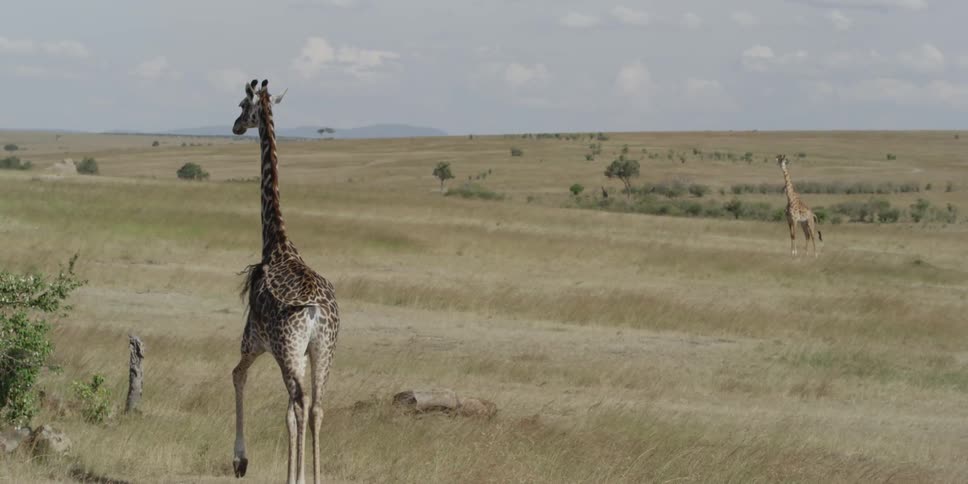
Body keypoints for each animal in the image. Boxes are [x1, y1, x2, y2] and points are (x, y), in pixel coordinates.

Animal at [231, 79, 340, 484]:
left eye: (242, 105)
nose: (235, 126)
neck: (276, 241)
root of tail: (313, 313)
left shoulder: (254, 339)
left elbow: (238, 376)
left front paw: (241, 461)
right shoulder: (299, 353)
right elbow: (293, 413)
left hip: (288, 349)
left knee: (300, 402)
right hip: (323, 349)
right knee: (316, 405)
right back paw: (318, 478)